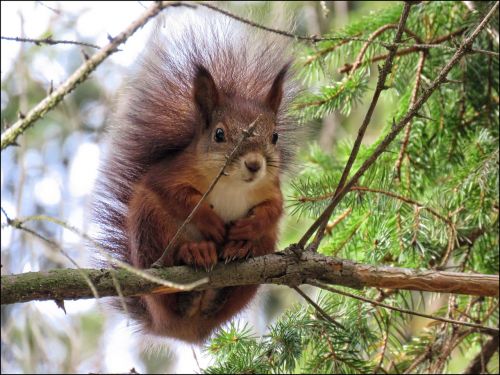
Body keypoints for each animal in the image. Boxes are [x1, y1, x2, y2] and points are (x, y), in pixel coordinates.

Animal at [92, 13, 296, 344]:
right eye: (219, 134)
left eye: (275, 136)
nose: (254, 165)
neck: (232, 184)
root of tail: (181, 330)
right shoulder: (170, 175)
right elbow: (177, 196)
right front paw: (210, 222)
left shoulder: (270, 187)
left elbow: (274, 209)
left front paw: (248, 227)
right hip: (150, 225)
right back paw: (194, 252)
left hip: (265, 245)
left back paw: (238, 253)